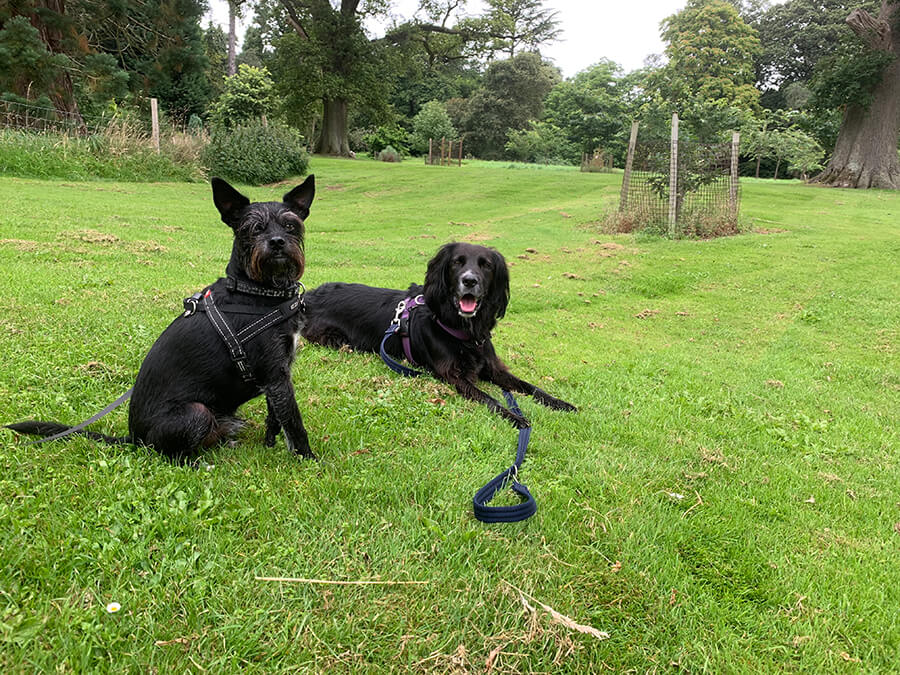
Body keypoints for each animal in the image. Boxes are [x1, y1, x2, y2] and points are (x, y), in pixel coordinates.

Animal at [6, 177, 316, 462]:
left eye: (291, 226)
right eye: (253, 229)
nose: (277, 242)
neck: (255, 289)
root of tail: (134, 437)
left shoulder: (277, 374)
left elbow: (276, 417)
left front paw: (271, 445)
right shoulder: (276, 375)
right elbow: (294, 422)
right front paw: (307, 459)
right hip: (197, 412)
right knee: (174, 455)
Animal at [300, 243, 576, 428]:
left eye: (486, 265)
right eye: (457, 262)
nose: (470, 280)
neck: (464, 332)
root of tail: (307, 296)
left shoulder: (493, 368)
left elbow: (530, 386)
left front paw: (561, 403)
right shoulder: (452, 375)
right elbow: (490, 399)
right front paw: (515, 417)